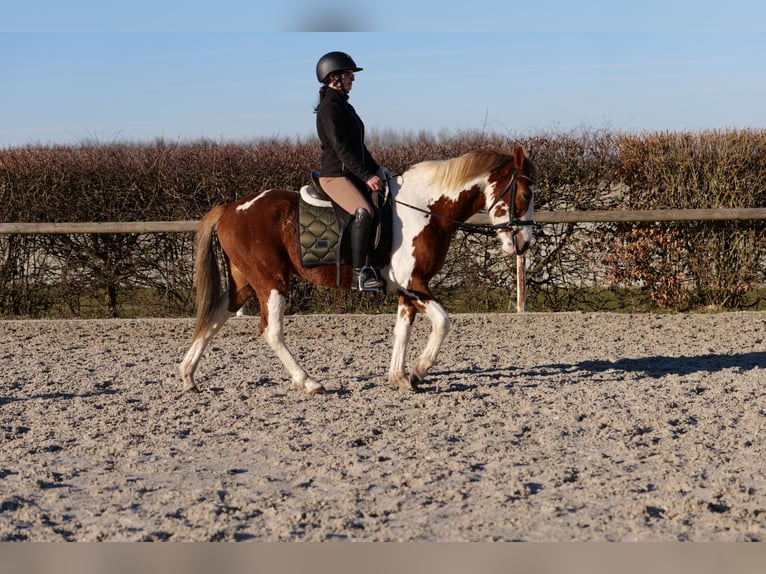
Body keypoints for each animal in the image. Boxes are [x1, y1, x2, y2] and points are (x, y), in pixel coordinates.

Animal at [180, 146, 540, 396]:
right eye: (525, 194)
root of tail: (231, 207)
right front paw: (419, 371)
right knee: (271, 331)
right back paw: (309, 383)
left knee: (214, 317)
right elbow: (443, 322)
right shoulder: (415, 284)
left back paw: (188, 376)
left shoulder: (407, 289)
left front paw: (399, 377)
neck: (426, 210)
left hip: (244, 282)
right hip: (271, 281)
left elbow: (402, 330)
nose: (523, 243)